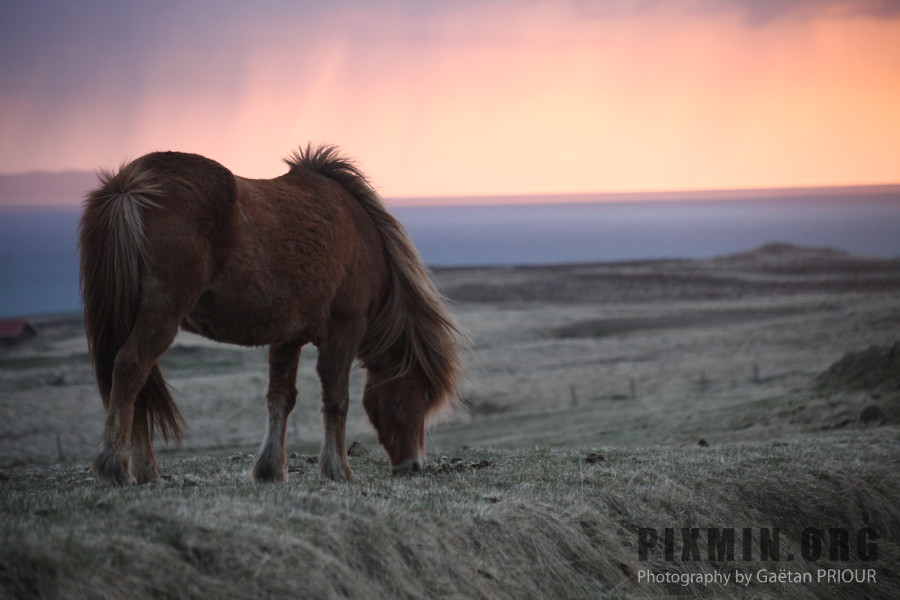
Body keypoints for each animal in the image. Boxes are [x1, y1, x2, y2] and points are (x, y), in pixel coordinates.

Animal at [80, 144, 460, 482]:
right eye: (426, 394)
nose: (413, 465)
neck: (363, 239)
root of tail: (129, 185)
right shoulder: (344, 330)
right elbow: (337, 399)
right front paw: (339, 470)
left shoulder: (287, 338)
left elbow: (281, 397)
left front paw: (270, 469)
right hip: (163, 311)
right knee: (130, 367)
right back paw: (115, 465)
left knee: (139, 382)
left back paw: (145, 470)